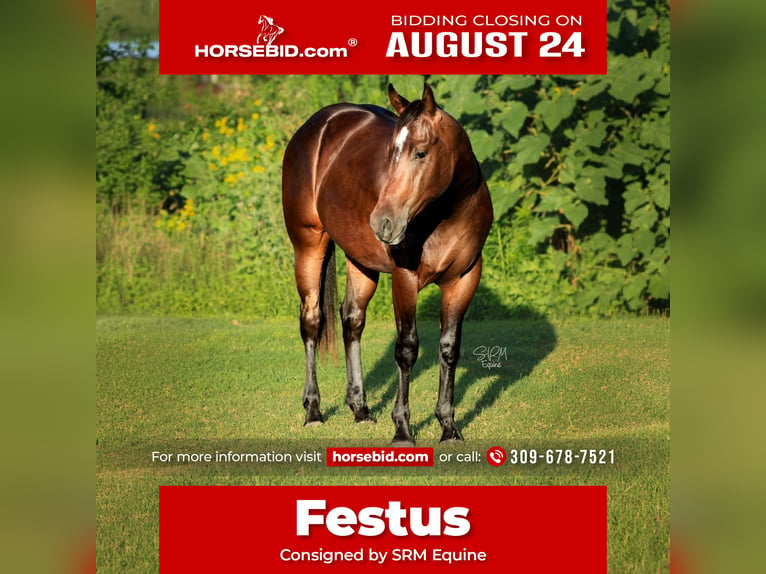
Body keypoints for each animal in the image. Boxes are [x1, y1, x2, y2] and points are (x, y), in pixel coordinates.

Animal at [282, 84, 493, 445]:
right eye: (391, 153)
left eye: (420, 153)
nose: (383, 222)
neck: (448, 214)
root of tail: (315, 126)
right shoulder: (404, 279)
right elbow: (407, 349)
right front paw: (403, 430)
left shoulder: (464, 279)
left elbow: (449, 348)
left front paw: (449, 427)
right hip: (308, 245)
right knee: (312, 321)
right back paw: (313, 411)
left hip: (359, 260)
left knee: (352, 320)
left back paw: (361, 409)